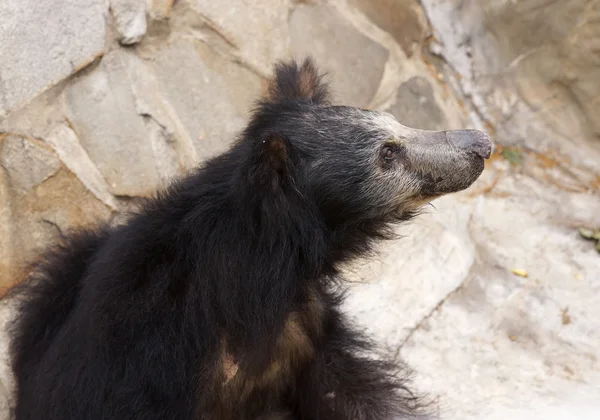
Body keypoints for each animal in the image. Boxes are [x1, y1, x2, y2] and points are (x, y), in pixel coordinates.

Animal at [4, 57, 492, 418]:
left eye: (398, 125)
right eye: (387, 154)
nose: (480, 145)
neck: (265, 266)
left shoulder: (307, 325)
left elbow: (348, 393)